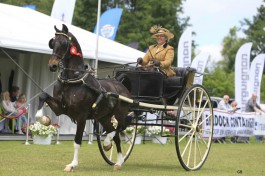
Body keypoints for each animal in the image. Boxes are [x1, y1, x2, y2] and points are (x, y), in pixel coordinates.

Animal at [36, 24, 131, 171]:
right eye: (52, 42)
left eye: (64, 43)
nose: (52, 65)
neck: (71, 80)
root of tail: (120, 84)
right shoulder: (60, 109)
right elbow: (43, 96)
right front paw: (43, 118)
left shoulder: (81, 116)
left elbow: (77, 141)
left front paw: (72, 164)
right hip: (104, 117)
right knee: (115, 135)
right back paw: (118, 161)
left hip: (120, 114)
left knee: (119, 129)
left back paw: (111, 148)